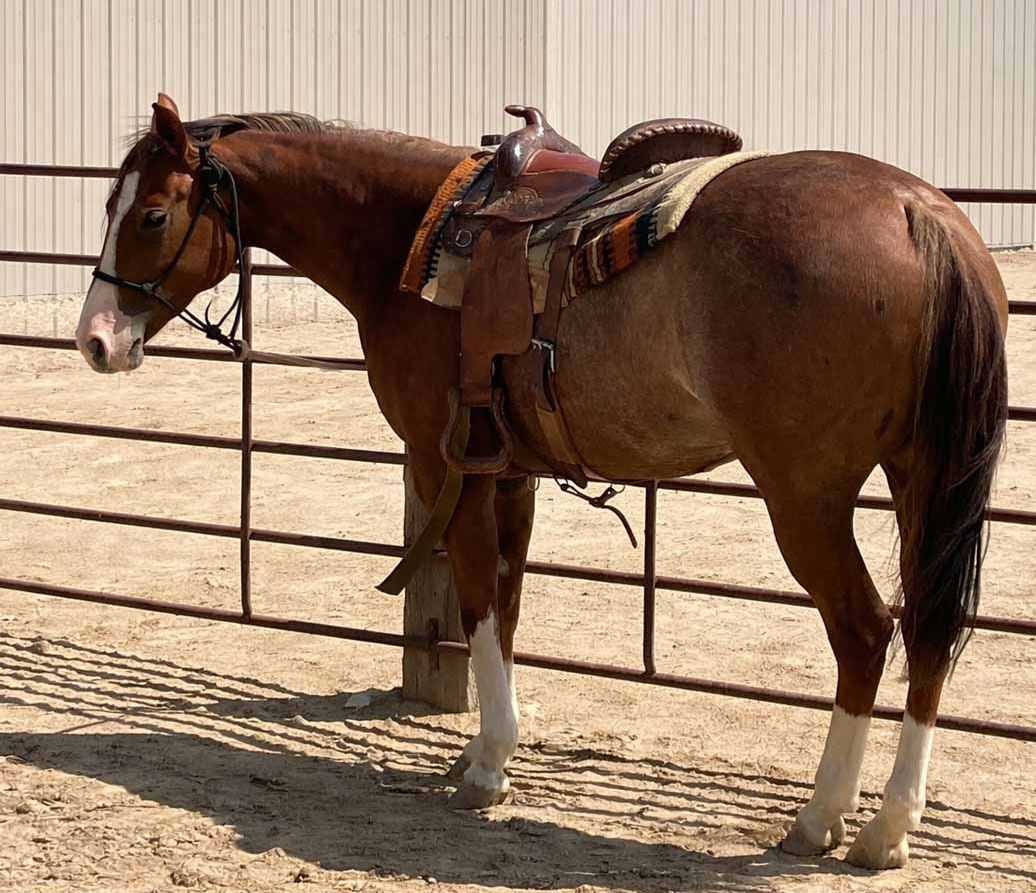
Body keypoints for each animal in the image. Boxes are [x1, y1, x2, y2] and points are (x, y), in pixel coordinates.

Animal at [75, 94, 1008, 870]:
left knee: (864, 631)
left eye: (152, 214)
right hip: (922, 477)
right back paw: (889, 826)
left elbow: (480, 600)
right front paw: (488, 744)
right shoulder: (509, 475)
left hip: (805, 496)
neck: (405, 238)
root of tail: (918, 214)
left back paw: (824, 820)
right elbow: (512, 604)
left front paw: (487, 766)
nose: (95, 341)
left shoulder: (448, 467)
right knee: (930, 630)